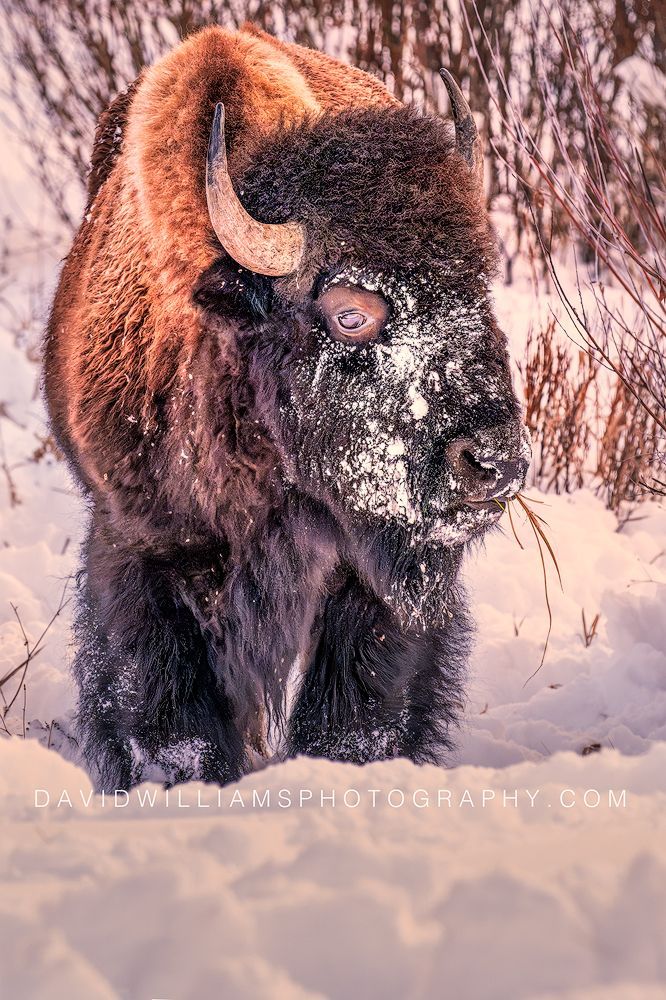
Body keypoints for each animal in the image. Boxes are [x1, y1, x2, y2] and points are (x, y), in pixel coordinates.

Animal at [45, 24, 530, 790]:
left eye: (479, 286)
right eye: (350, 313)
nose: (493, 461)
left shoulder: (368, 574)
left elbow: (358, 705)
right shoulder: (143, 546)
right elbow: (168, 710)